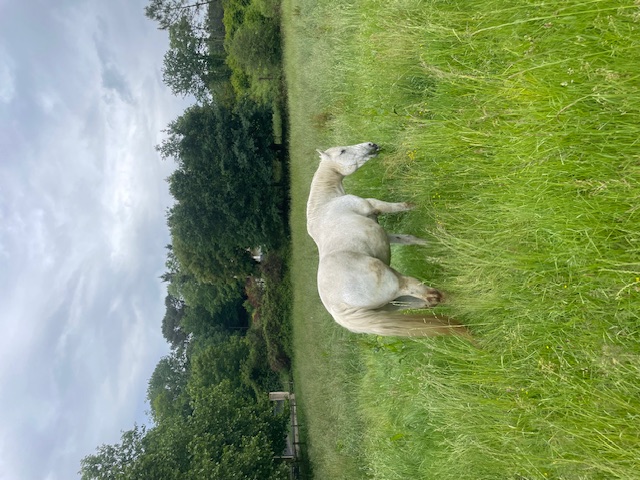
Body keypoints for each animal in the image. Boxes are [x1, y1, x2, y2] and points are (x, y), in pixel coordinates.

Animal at [306, 142, 471, 338]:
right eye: (342, 151)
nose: (371, 145)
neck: (326, 204)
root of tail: (339, 310)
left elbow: (407, 238)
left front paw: (433, 244)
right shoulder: (374, 206)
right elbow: (404, 206)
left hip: (394, 304)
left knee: (428, 301)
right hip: (397, 285)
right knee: (430, 295)